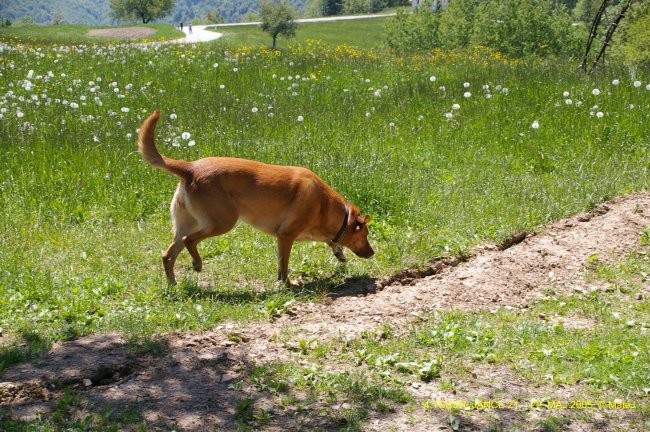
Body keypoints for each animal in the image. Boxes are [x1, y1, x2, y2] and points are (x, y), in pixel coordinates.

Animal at [135, 109, 374, 286]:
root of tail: (190, 168)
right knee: (189, 241)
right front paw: (288, 284)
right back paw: (197, 264)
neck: (326, 207)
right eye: (365, 236)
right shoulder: (285, 237)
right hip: (222, 222)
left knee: (168, 254)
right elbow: (283, 268)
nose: (372, 253)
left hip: (186, 223)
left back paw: (173, 285)